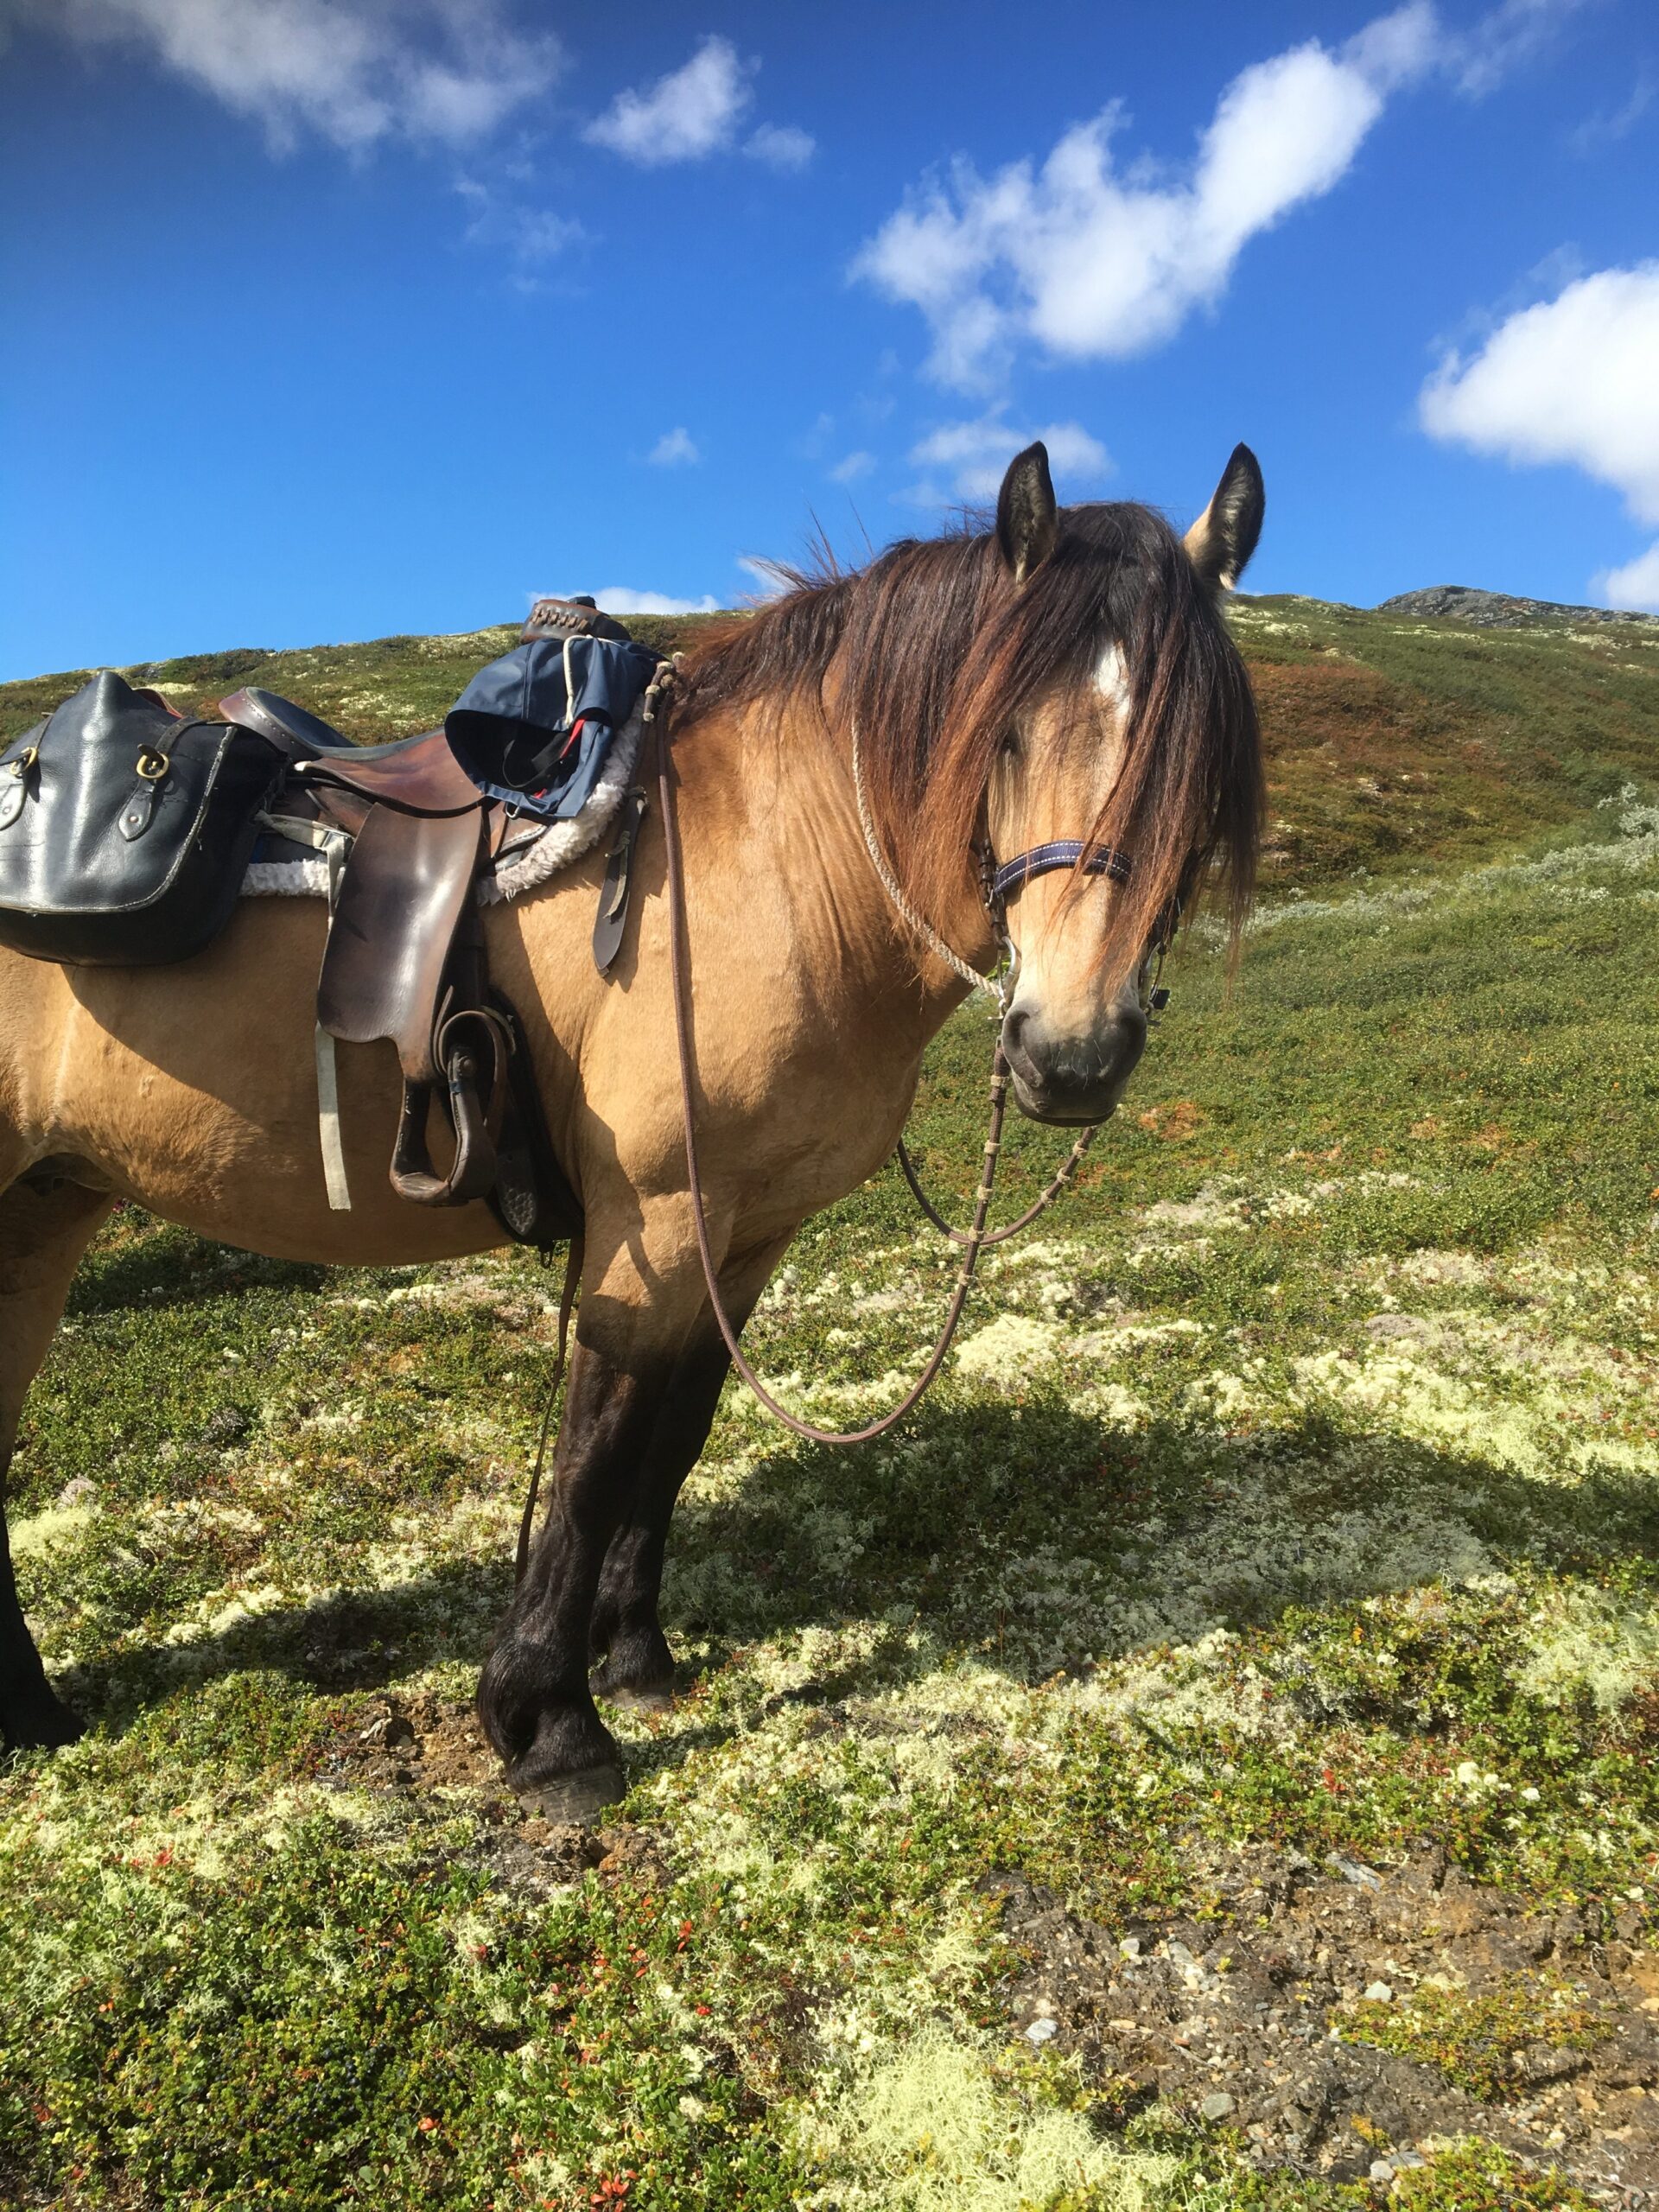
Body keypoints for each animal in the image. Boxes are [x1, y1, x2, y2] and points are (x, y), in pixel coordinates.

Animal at [0, 435, 1265, 1814]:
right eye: (1009, 731)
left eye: (1199, 757)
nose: (1070, 1054)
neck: (776, 860)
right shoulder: (653, 1224)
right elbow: (599, 1451)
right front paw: (549, 1722)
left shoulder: (748, 1235)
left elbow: (679, 1434)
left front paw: (636, 1656)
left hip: (46, 1213)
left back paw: (31, 1715)